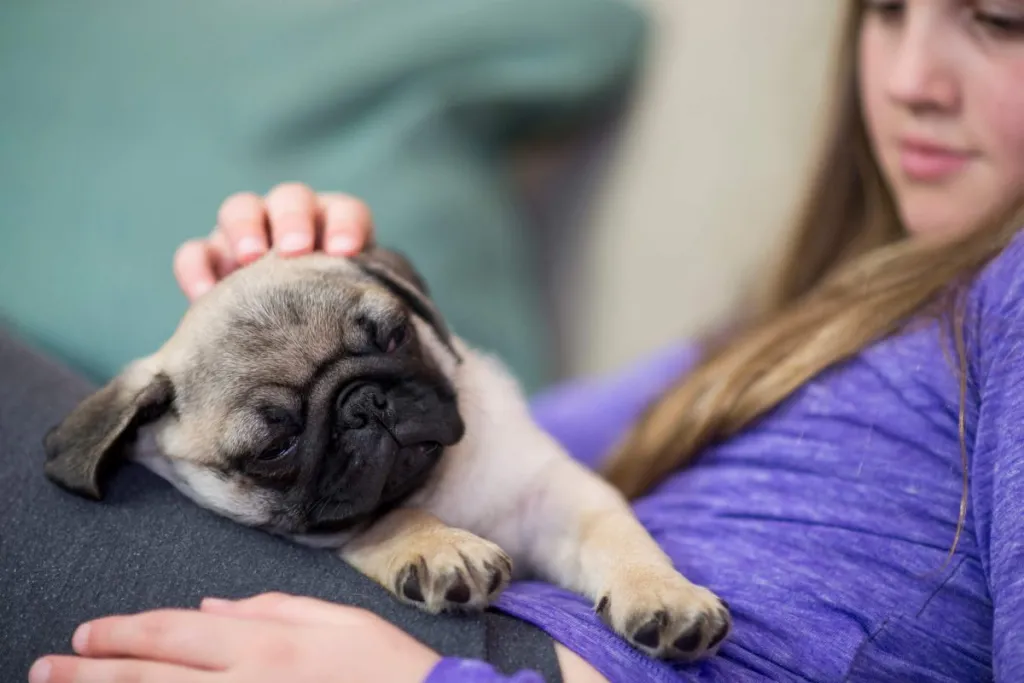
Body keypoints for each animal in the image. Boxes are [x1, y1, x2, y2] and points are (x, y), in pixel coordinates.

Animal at [39, 248, 729, 659]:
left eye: (395, 335)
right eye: (276, 446)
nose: (364, 403)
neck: (439, 486)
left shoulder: (555, 495)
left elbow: (617, 537)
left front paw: (663, 593)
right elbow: (390, 515)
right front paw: (438, 545)